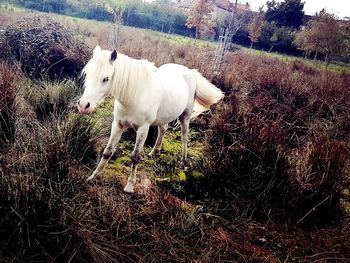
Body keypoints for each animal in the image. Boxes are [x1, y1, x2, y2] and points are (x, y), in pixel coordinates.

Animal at [77, 45, 223, 194]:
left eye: (106, 79)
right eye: (87, 74)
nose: (83, 106)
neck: (134, 95)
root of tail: (190, 72)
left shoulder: (143, 129)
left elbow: (135, 157)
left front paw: (130, 186)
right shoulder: (117, 125)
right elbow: (107, 152)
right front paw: (93, 176)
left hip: (185, 116)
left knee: (184, 136)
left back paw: (183, 160)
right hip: (164, 117)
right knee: (163, 129)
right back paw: (155, 152)